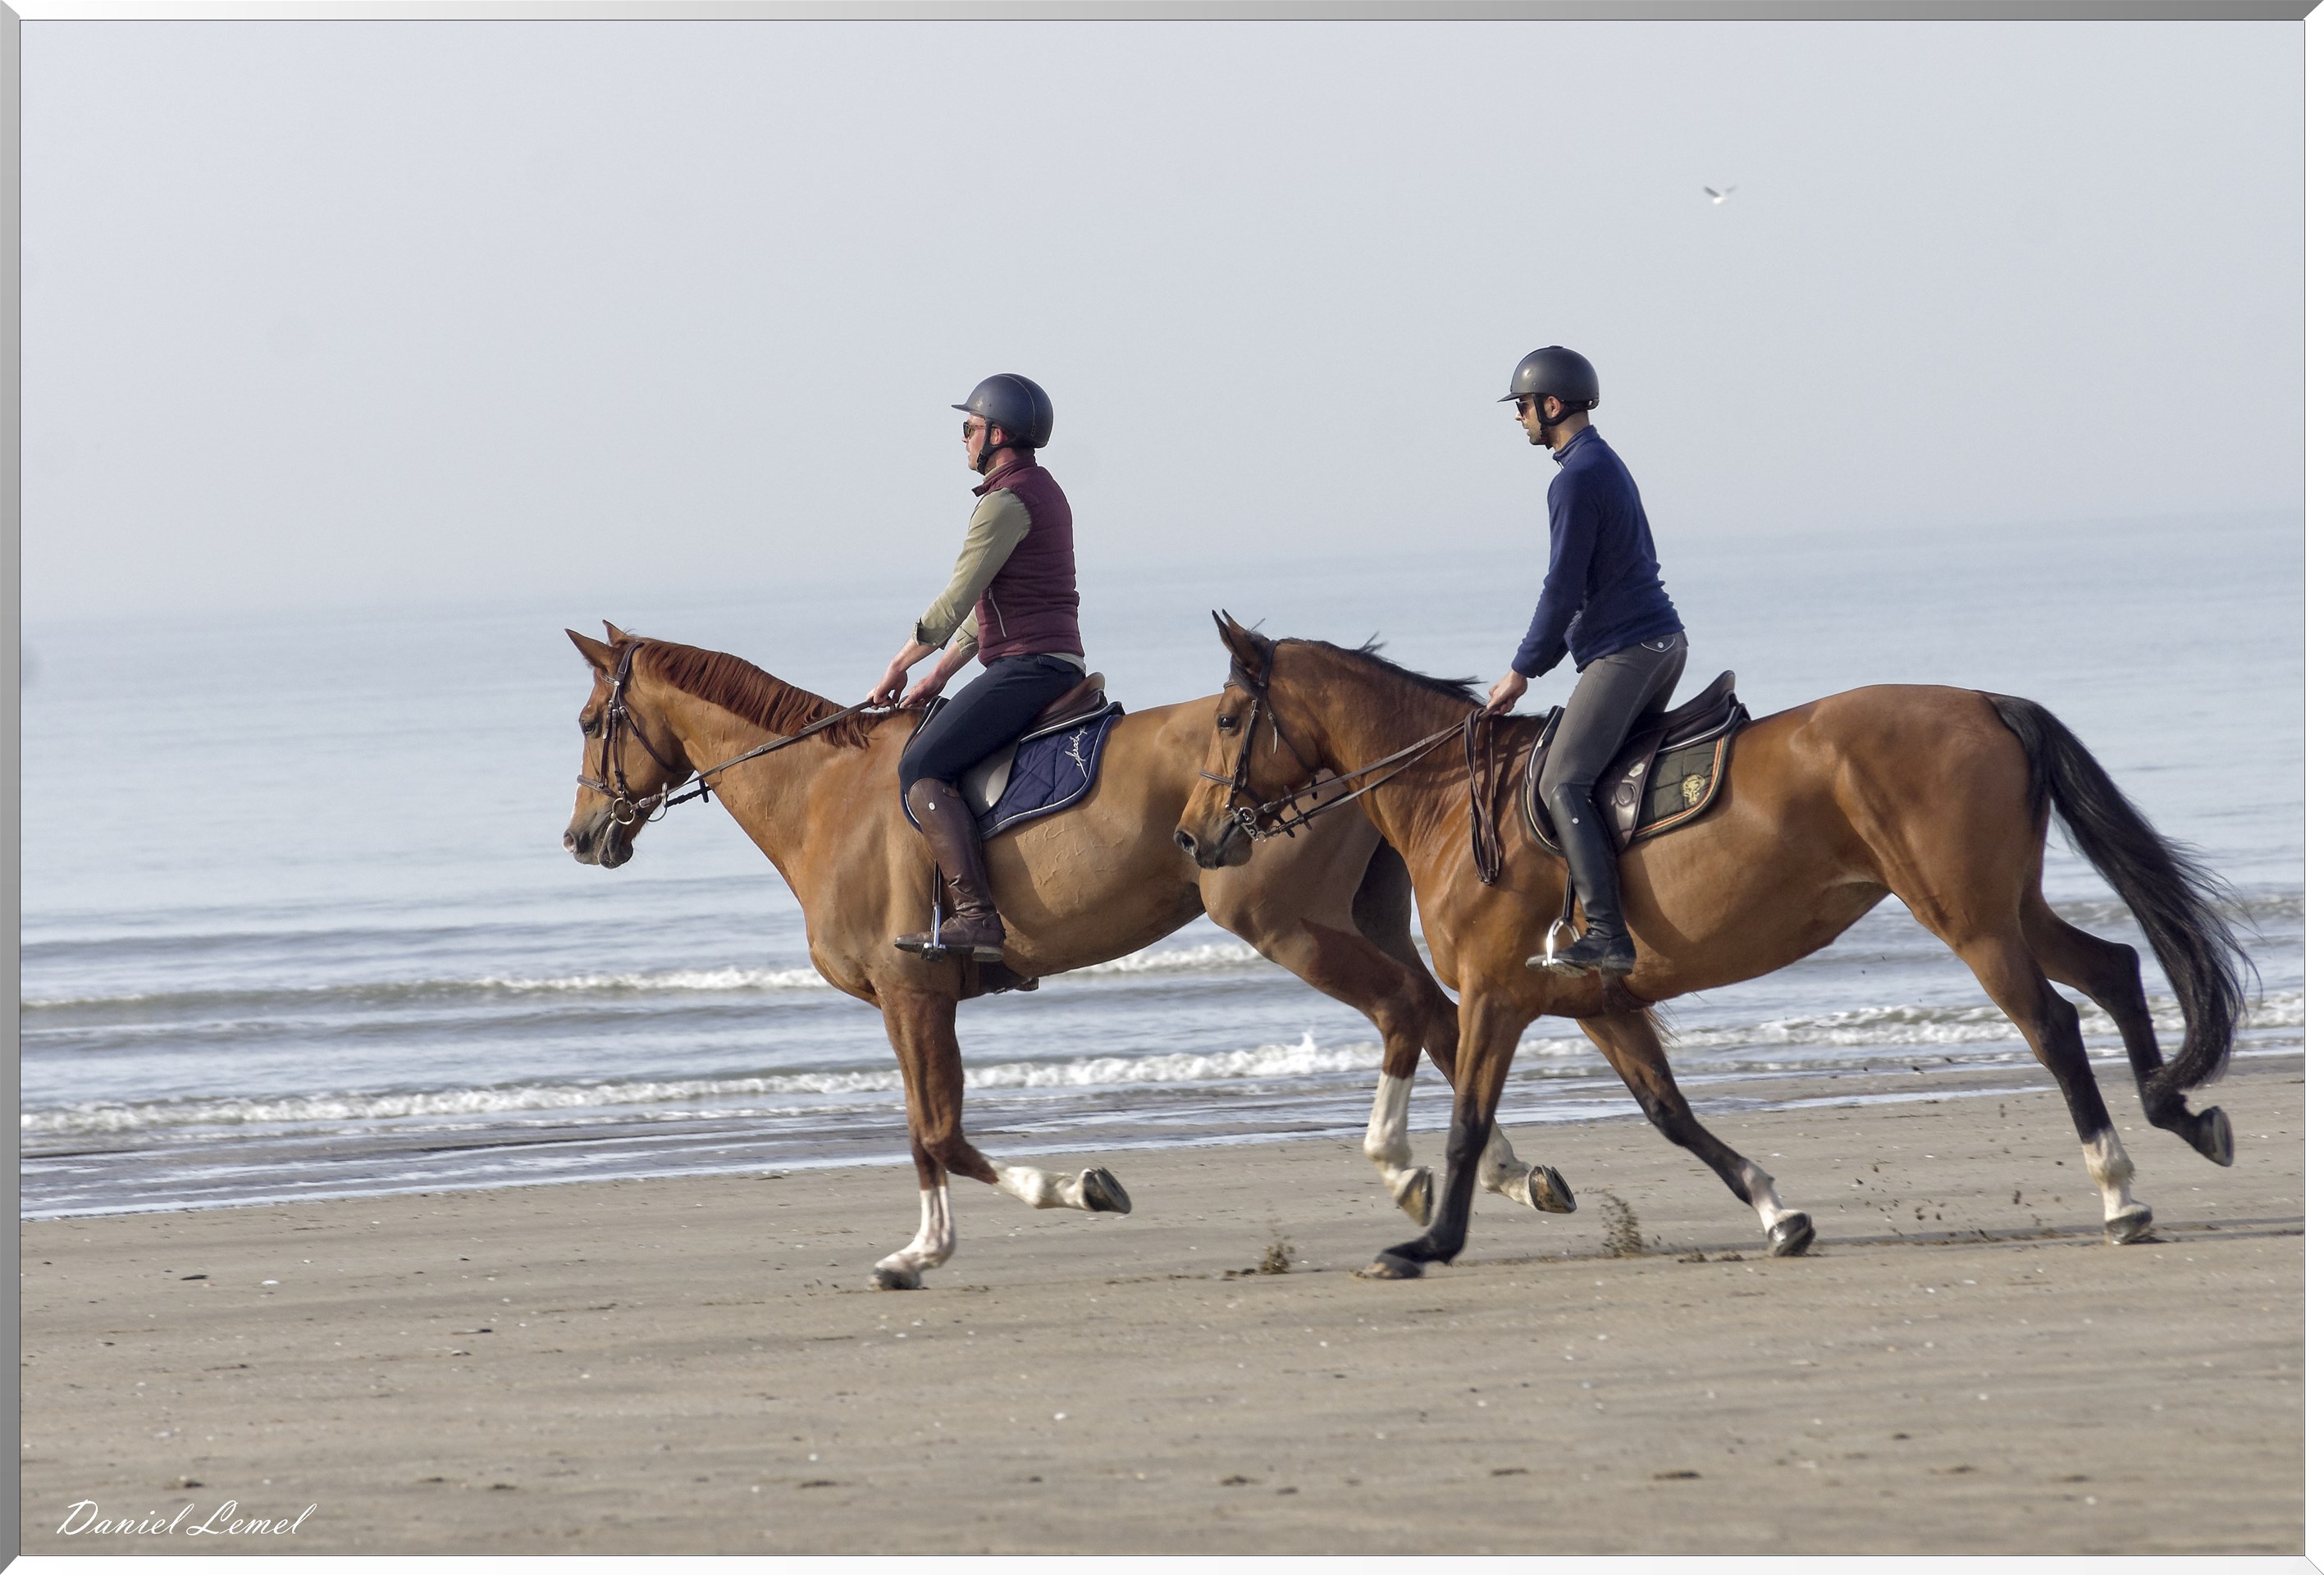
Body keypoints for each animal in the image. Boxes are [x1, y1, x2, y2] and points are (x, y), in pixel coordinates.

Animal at [560, 624, 1575, 1289]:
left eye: (587, 722)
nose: (580, 837)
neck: (825, 792)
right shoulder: (910, 1000)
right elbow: (925, 1130)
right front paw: (921, 1249)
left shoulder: (912, 992)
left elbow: (940, 1132)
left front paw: (1069, 1190)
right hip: (1366, 919)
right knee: (1444, 1019)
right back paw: (1511, 1178)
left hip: (1288, 925)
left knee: (1407, 1010)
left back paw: (1407, 1173)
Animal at [1174, 615, 2248, 1280]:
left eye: (1226, 720)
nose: (1192, 837)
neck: (1448, 800)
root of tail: (1982, 700)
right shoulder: (1597, 1005)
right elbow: (1671, 1116)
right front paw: (1777, 1212)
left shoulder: (1492, 995)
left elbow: (1469, 1124)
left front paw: (1428, 1244)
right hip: (2008, 905)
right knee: (2113, 969)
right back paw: (2180, 1114)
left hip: (1970, 920)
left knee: (2054, 1024)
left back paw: (2118, 1192)